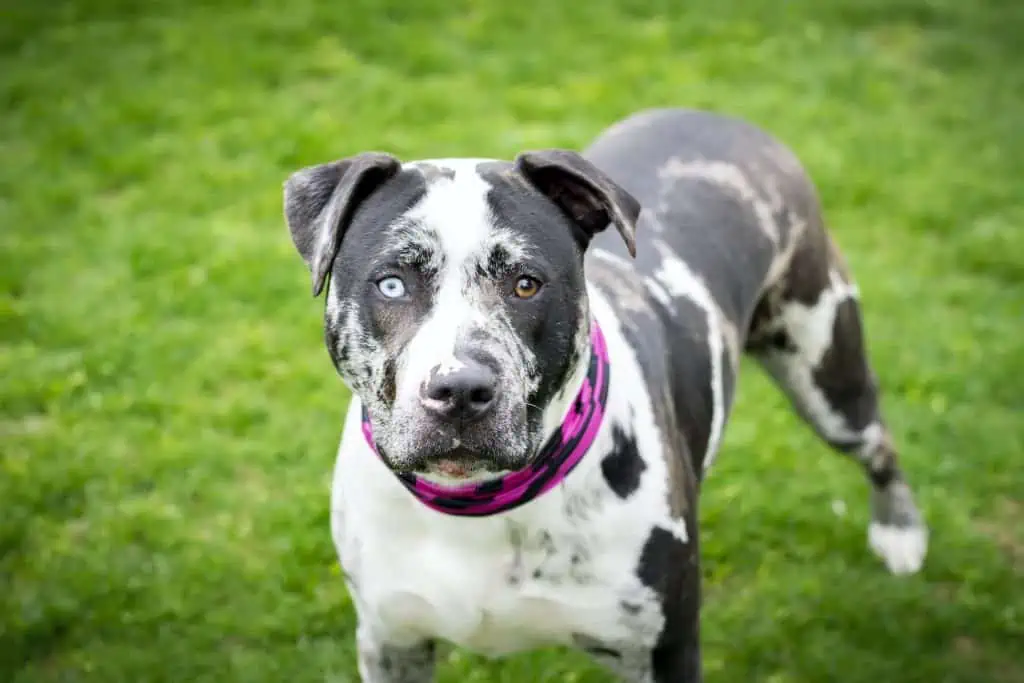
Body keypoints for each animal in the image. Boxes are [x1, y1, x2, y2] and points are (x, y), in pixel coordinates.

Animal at [280, 108, 929, 683]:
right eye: (392, 283)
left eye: (526, 284)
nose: (461, 389)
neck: (482, 507)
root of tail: (724, 120)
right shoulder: (394, 643)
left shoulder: (664, 651)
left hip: (825, 370)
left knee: (878, 441)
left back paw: (900, 533)